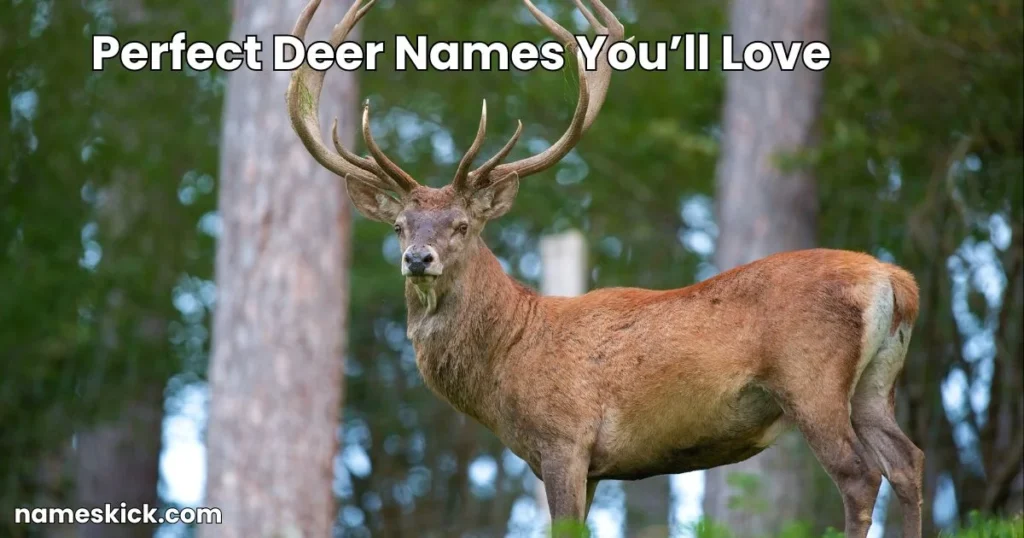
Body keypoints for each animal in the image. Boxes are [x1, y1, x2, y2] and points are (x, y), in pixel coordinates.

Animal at [285, 0, 925, 536]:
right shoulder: (590, 465)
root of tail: (896, 282)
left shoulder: (565, 441)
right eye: (399, 226)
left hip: (810, 378)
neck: (507, 360)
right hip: (875, 386)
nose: (418, 258)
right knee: (909, 463)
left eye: (462, 225)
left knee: (860, 476)